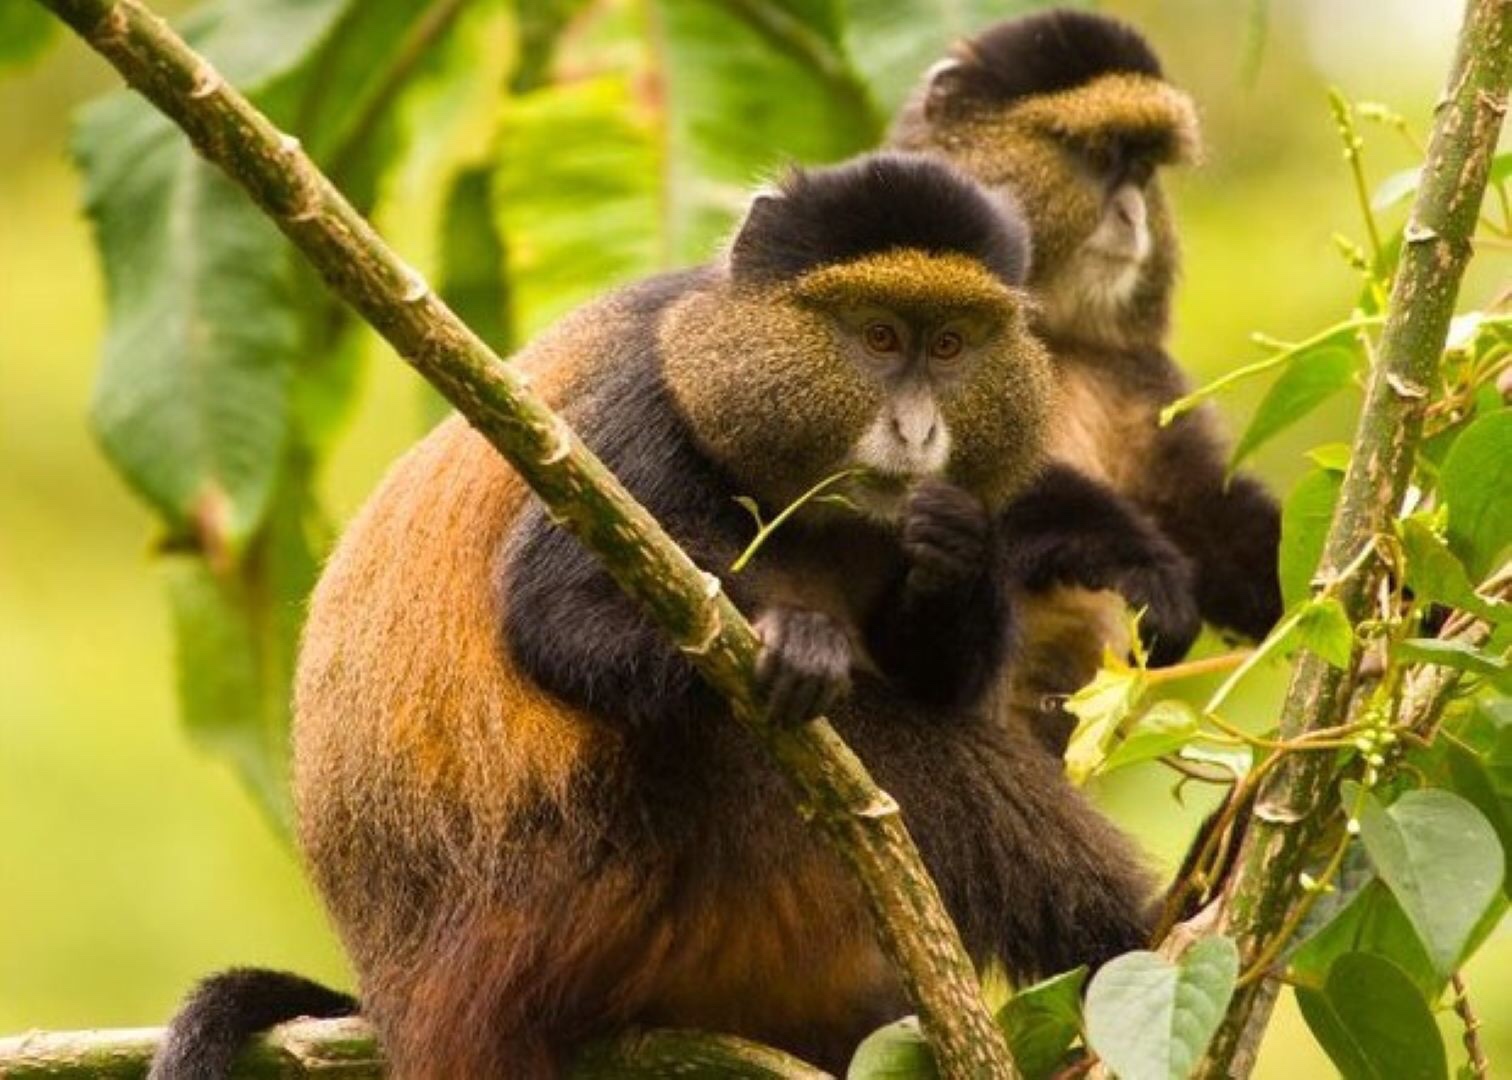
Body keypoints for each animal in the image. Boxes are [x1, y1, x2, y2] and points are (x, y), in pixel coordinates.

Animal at [150, 153, 1176, 1079]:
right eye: (879, 337)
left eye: (953, 344)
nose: (918, 432)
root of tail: (397, 991)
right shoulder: (639, 415)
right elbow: (556, 615)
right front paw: (801, 639)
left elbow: (943, 667)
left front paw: (957, 547)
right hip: (587, 892)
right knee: (855, 744)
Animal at [891, 9, 1283, 753]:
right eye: (1100, 157)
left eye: (1143, 167)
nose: (1132, 215)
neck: (1050, 330)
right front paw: (1139, 562)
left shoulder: (1134, 371)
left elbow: (1197, 501)